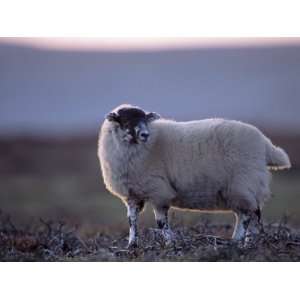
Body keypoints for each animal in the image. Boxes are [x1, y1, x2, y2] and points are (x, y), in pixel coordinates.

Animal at [98, 104, 290, 247]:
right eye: (125, 120)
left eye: (145, 119)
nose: (145, 134)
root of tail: (265, 144)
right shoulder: (132, 194)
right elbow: (131, 220)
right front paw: (132, 245)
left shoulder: (159, 191)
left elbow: (161, 222)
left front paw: (169, 243)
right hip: (237, 190)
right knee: (246, 214)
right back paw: (242, 241)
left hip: (244, 183)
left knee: (249, 215)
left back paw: (241, 241)